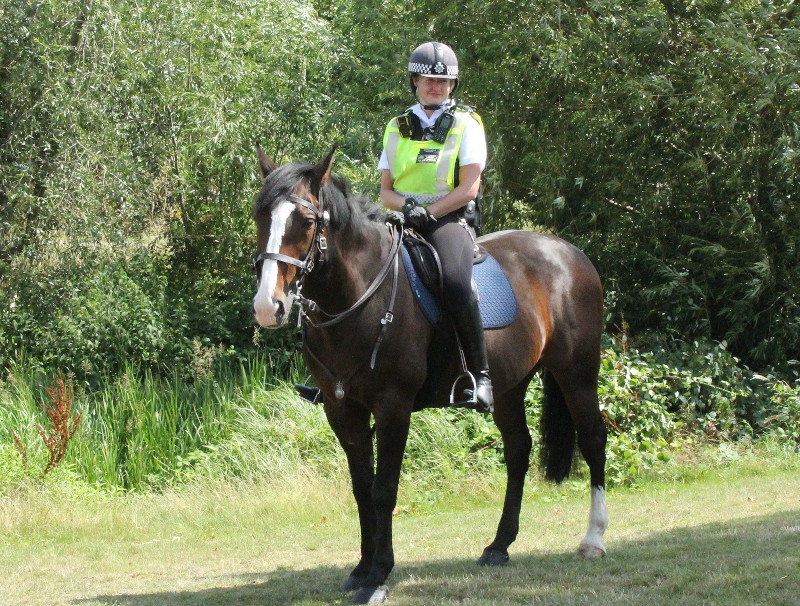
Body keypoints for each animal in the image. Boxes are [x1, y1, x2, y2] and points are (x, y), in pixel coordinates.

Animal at [250, 150, 608, 604]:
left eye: (307, 222)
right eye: (261, 217)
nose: (268, 306)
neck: (359, 296)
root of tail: (569, 252)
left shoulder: (393, 406)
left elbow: (384, 489)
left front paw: (378, 576)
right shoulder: (342, 408)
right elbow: (361, 487)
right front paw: (361, 569)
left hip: (576, 373)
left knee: (593, 438)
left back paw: (593, 539)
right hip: (510, 386)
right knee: (518, 450)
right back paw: (499, 545)